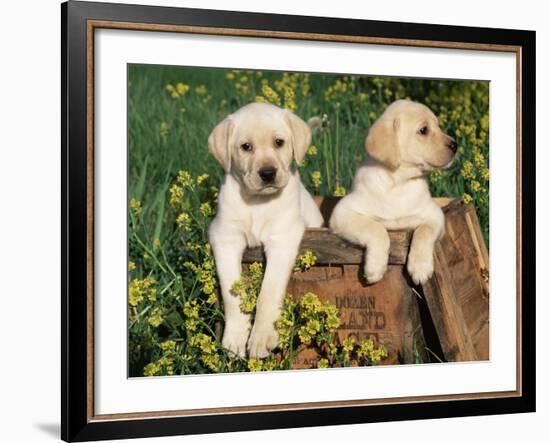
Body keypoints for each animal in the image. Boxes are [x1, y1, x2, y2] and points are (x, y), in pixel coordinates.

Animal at [209, 102, 326, 360]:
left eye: (279, 142)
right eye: (246, 147)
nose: (268, 173)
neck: (257, 202)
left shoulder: (282, 239)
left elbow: (268, 292)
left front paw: (262, 338)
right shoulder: (225, 238)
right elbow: (233, 295)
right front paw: (235, 338)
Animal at [330, 100, 460, 286]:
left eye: (438, 126)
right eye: (423, 130)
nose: (455, 145)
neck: (398, 182)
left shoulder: (435, 215)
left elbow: (424, 232)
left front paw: (420, 267)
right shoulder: (342, 213)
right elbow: (376, 228)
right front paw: (375, 268)